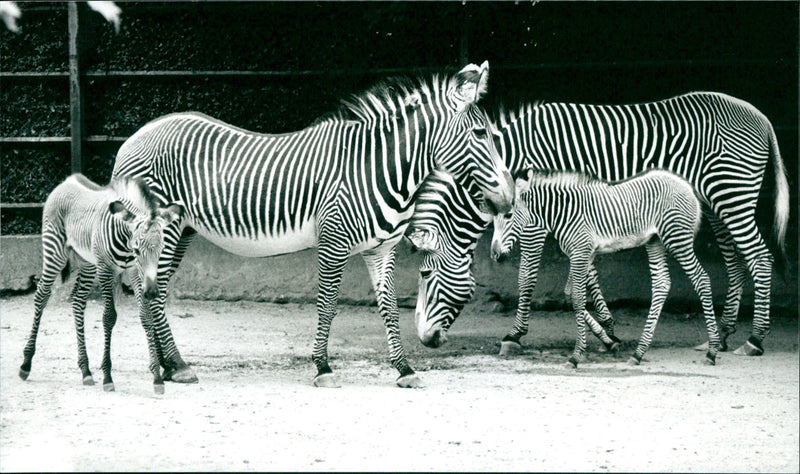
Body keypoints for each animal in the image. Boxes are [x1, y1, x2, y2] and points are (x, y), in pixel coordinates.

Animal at [18, 173, 183, 393]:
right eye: (137, 250)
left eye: (162, 249)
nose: (151, 293)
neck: (126, 243)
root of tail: (67, 181)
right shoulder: (106, 269)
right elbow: (109, 317)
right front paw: (107, 376)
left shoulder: (135, 272)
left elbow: (146, 316)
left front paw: (156, 378)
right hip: (55, 251)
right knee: (41, 297)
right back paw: (26, 363)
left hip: (87, 262)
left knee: (78, 301)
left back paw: (85, 370)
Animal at [110, 62, 514, 388]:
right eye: (481, 134)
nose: (510, 199)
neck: (379, 170)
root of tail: (132, 138)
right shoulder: (333, 240)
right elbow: (327, 303)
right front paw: (323, 367)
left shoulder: (382, 249)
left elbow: (388, 306)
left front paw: (404, 369)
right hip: (161, 229)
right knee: (148, 294)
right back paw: (166, 369)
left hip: (183, 230)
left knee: (157, 291)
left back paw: (174, 365)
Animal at [492, 169, 721, 367]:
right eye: (494, 216)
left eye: (509, 215)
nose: (495, 255)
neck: (563, 212)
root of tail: (685, 185)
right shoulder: (582, 254)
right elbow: (570, 293)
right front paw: (607, 339)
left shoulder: (581, 253)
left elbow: (578, 297)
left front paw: (576, 355)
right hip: (655, 241)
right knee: (662, 285)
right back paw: (639, 353)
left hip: (677, 238)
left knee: (701, 279)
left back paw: (712, 351)